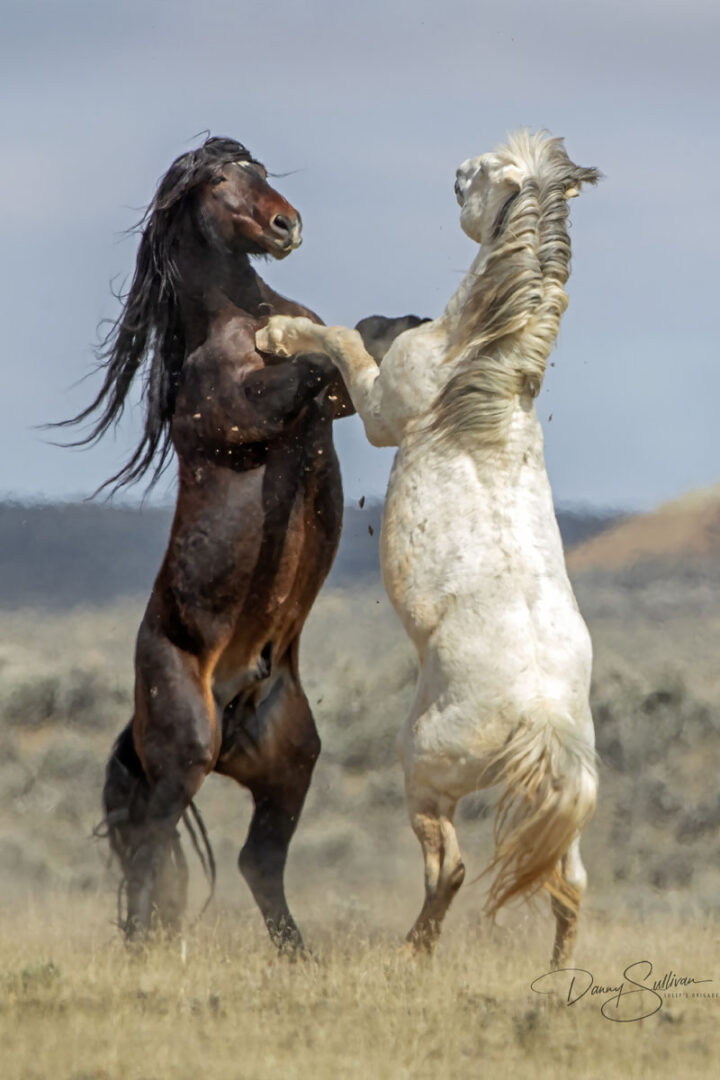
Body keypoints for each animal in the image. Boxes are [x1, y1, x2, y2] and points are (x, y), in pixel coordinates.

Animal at [57, 135, 360, 953]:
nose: (288, 226)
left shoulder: (331, 405)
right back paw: (142, 951)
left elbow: (341, 358)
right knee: (150, 846)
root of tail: (229, 699)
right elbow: (310, 365)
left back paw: (301, 958)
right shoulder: (242, 410)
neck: (239, 313)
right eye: (222, 180)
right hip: (186, 748)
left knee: (258, 861)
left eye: (262, 173)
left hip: (291, 760)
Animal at [257, 130, 601, 967]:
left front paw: (277, 335)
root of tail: (541, 722)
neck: (478, 372)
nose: (454, 171)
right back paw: (556, 978)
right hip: (558, 810)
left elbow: (344, 341)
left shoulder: (385, 409)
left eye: (486, 175)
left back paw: (412, 951)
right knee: (568, 888)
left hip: (425, 770)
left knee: (452, 868)